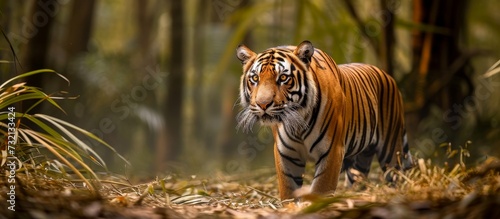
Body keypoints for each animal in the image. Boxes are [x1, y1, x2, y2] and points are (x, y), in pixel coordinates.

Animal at [236, 40, 412, 199]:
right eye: (255, 78)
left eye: (284, 77)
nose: (263, 104)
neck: (298, 124)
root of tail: (388, 76)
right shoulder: (285, 153)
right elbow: (288, 189)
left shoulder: (332, 150)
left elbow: (321, 187)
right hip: (361, 154)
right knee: (357, 177)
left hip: (390, 148)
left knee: (395, 175)